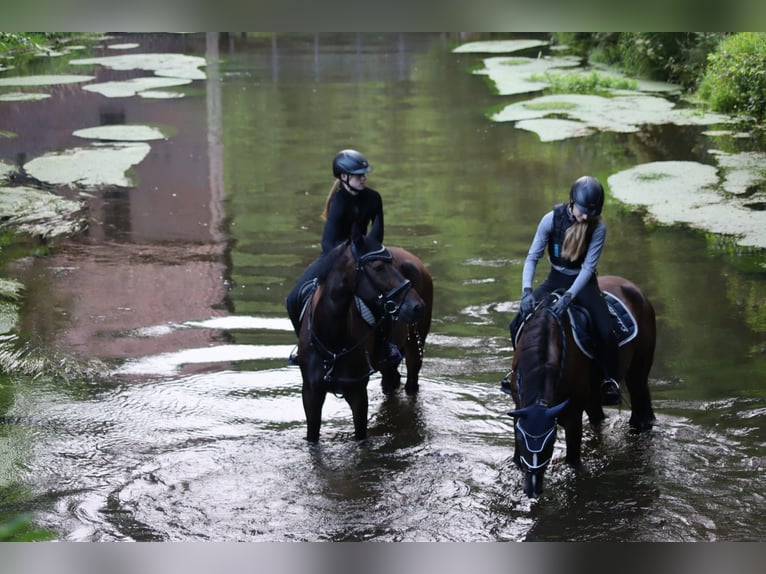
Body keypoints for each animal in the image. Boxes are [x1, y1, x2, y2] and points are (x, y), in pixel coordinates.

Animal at [296, 232, 432, 444]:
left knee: (411, 383)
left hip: (414, 347)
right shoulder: (311, 395)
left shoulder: (358, 394)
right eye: (378, 267)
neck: (333, 343)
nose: (418, 306)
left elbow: (361, 438)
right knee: (391, 381)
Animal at [504, 275, 656, 498]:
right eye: (522, 440)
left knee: (640, 413)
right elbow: (516, 459)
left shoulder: (573, 416)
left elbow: (573, 464)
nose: (533, 489)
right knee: (599, 418)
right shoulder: (519, 410)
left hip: (637, 374)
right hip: (593, 395)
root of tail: (634, 288)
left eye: (551, 441)